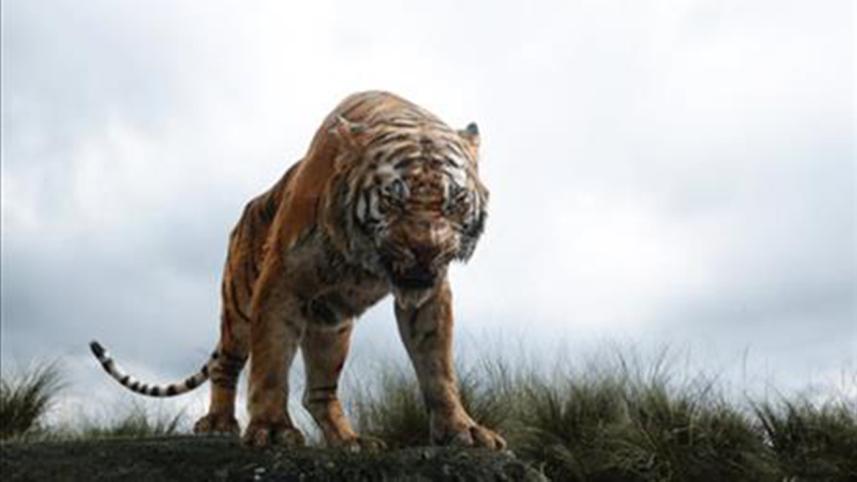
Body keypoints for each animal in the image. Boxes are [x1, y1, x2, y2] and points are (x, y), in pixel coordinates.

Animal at [90, 90, 505, 450]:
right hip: (239, 307)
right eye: (391, 199)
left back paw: (350, 440)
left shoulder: (429, 295)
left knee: (318, 392)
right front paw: (273, 430)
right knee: (227, 365)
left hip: (332, 322)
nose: (424, 250)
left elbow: (438, 366)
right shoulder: (282, 281)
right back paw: (220, 424)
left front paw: (464, 430)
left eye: (455, 202)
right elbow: (272, 361)